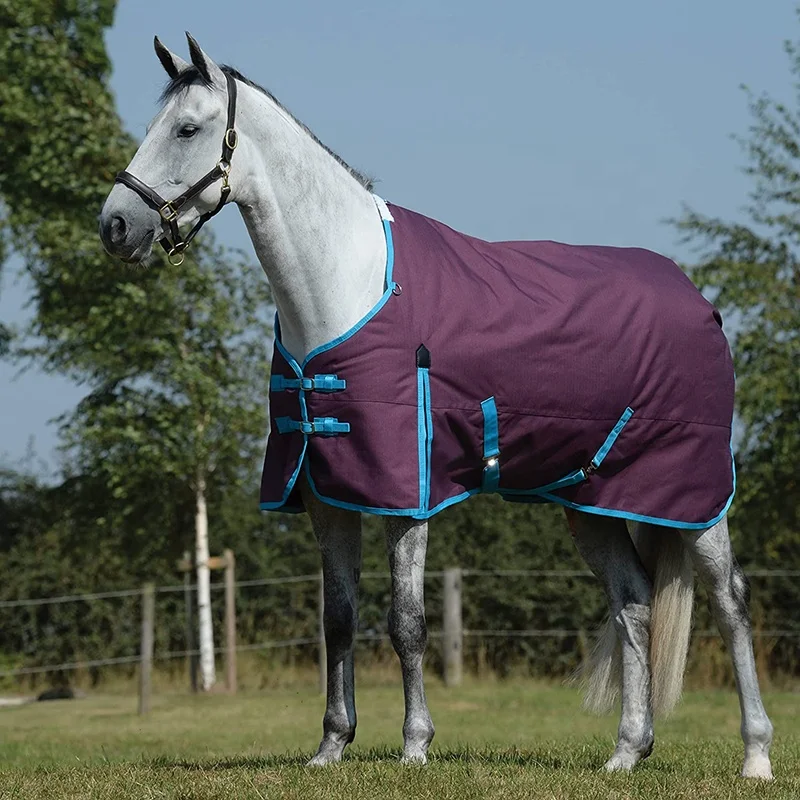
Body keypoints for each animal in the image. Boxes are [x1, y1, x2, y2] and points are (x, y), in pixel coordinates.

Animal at [99, 33, 773, 779]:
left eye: (187, 129)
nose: (115, 226)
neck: (348, 286)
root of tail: (698, 301)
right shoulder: (329, 497)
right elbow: (339, 619)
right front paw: (331, 745)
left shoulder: (406, 495)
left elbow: (407, 622)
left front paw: (415, 745)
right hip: (592, 502)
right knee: (632, 602)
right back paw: (627, 752)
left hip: (695, 499)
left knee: (730, 600)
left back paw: (756, 756)